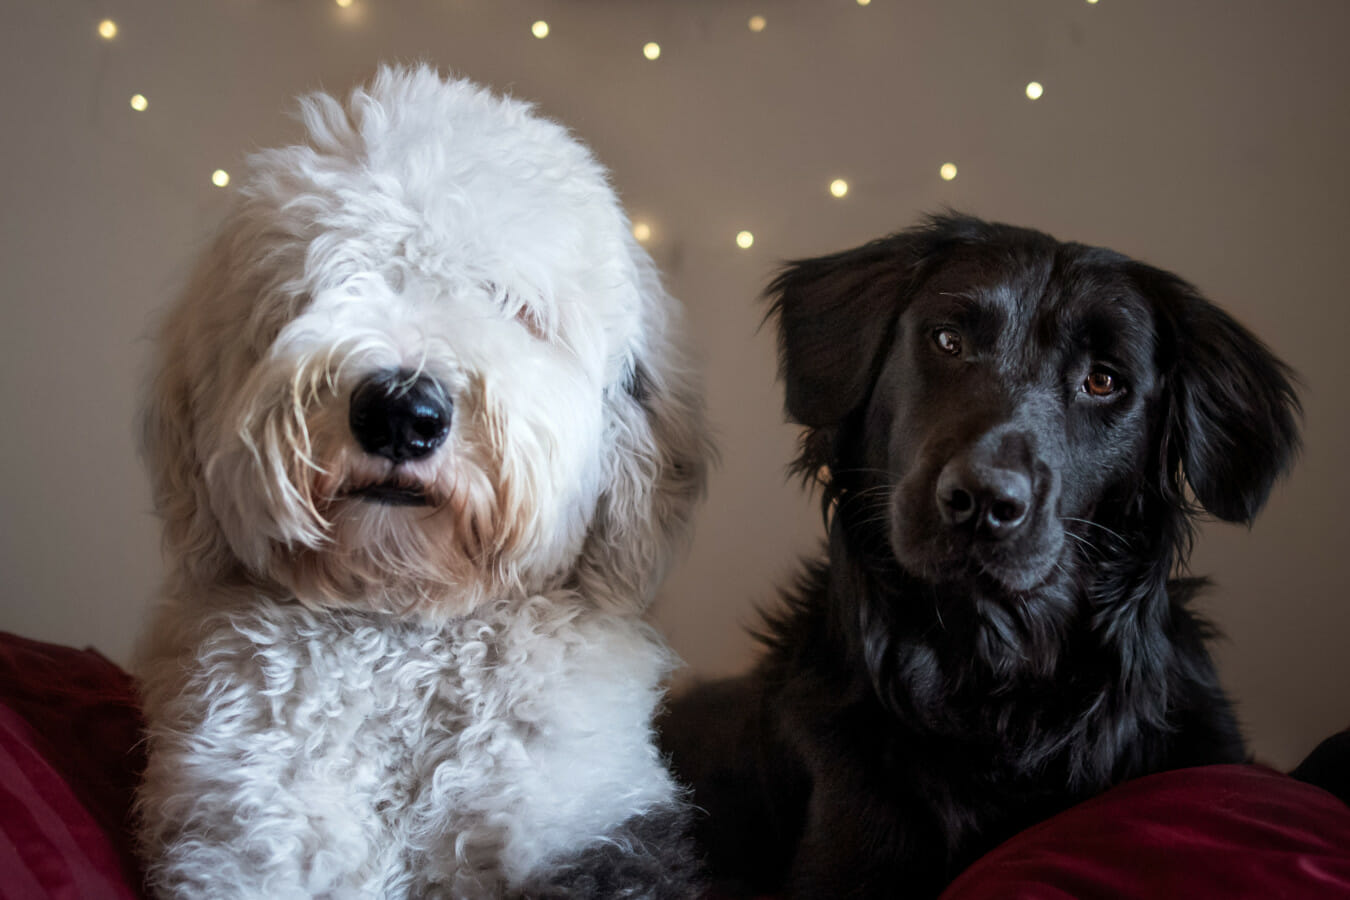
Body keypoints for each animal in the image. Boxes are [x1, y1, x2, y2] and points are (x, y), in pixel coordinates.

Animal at [131, 66, 712, 895]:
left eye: (512, 302)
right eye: (318, 286)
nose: (400, 412)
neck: (403, 644)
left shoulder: (586, 822)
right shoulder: (252, 828)